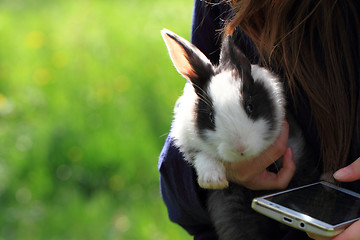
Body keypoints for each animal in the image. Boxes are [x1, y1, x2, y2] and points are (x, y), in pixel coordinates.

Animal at [162, 29, 320, 239]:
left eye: (250, 106)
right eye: (210, 117)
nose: (240, 148)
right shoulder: (186, 138)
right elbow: (203, 156)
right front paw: (212, 180)